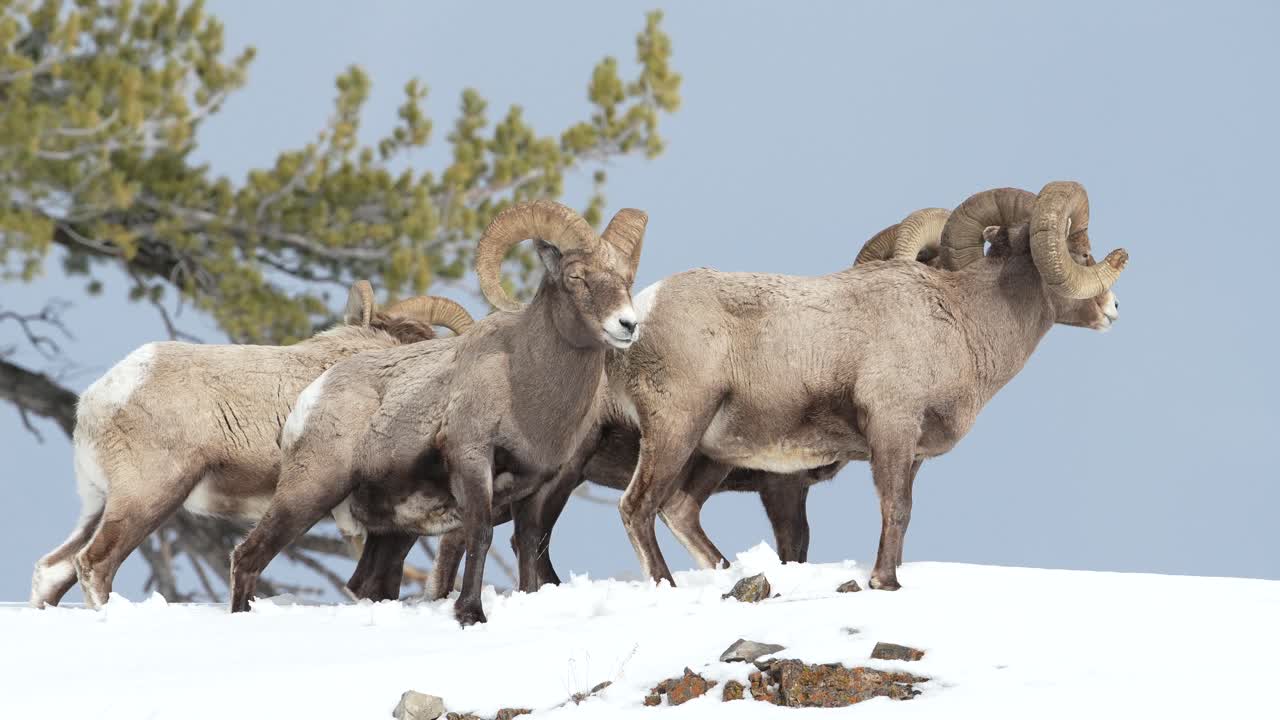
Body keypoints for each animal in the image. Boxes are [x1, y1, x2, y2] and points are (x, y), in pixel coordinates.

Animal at [227, 200, 647, 624]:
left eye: (627, 278)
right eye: (576, 276)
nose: (627, 325)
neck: (523, 385)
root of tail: (311, 398)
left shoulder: (539, 485)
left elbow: (530, 545)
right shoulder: (473, 463)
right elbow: (481, 536)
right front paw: (470, 614)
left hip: (392, 531)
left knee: (365, 582)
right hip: (308, 493)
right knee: (248, 558)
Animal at [603, 181, 1126, 591]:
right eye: (1082, 254)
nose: (1113, 309)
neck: (963, 321)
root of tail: (639, 315)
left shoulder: (912, 453)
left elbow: (904, 514)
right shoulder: (891, 432)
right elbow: (895, 508)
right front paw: (884, 583)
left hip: (715, 450)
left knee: (679, 510)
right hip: (676, 430)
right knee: (637, 507)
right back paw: (666, 585)